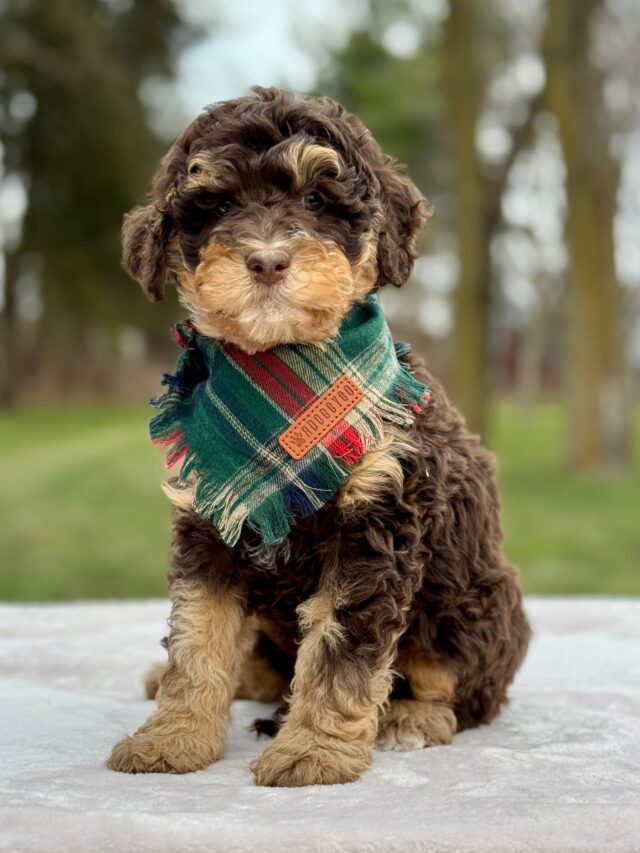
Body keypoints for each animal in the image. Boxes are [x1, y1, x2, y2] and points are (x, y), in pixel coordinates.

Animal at [109, 86, 528, 784]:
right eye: (219, 205)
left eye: (315, 201)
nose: (267, 259)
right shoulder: (208, 524)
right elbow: (198, 638)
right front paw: (173, 737)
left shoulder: (374, 524)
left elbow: (340, 648)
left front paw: (312, 749)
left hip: (476, 602)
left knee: (464, 687)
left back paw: (412, 719)